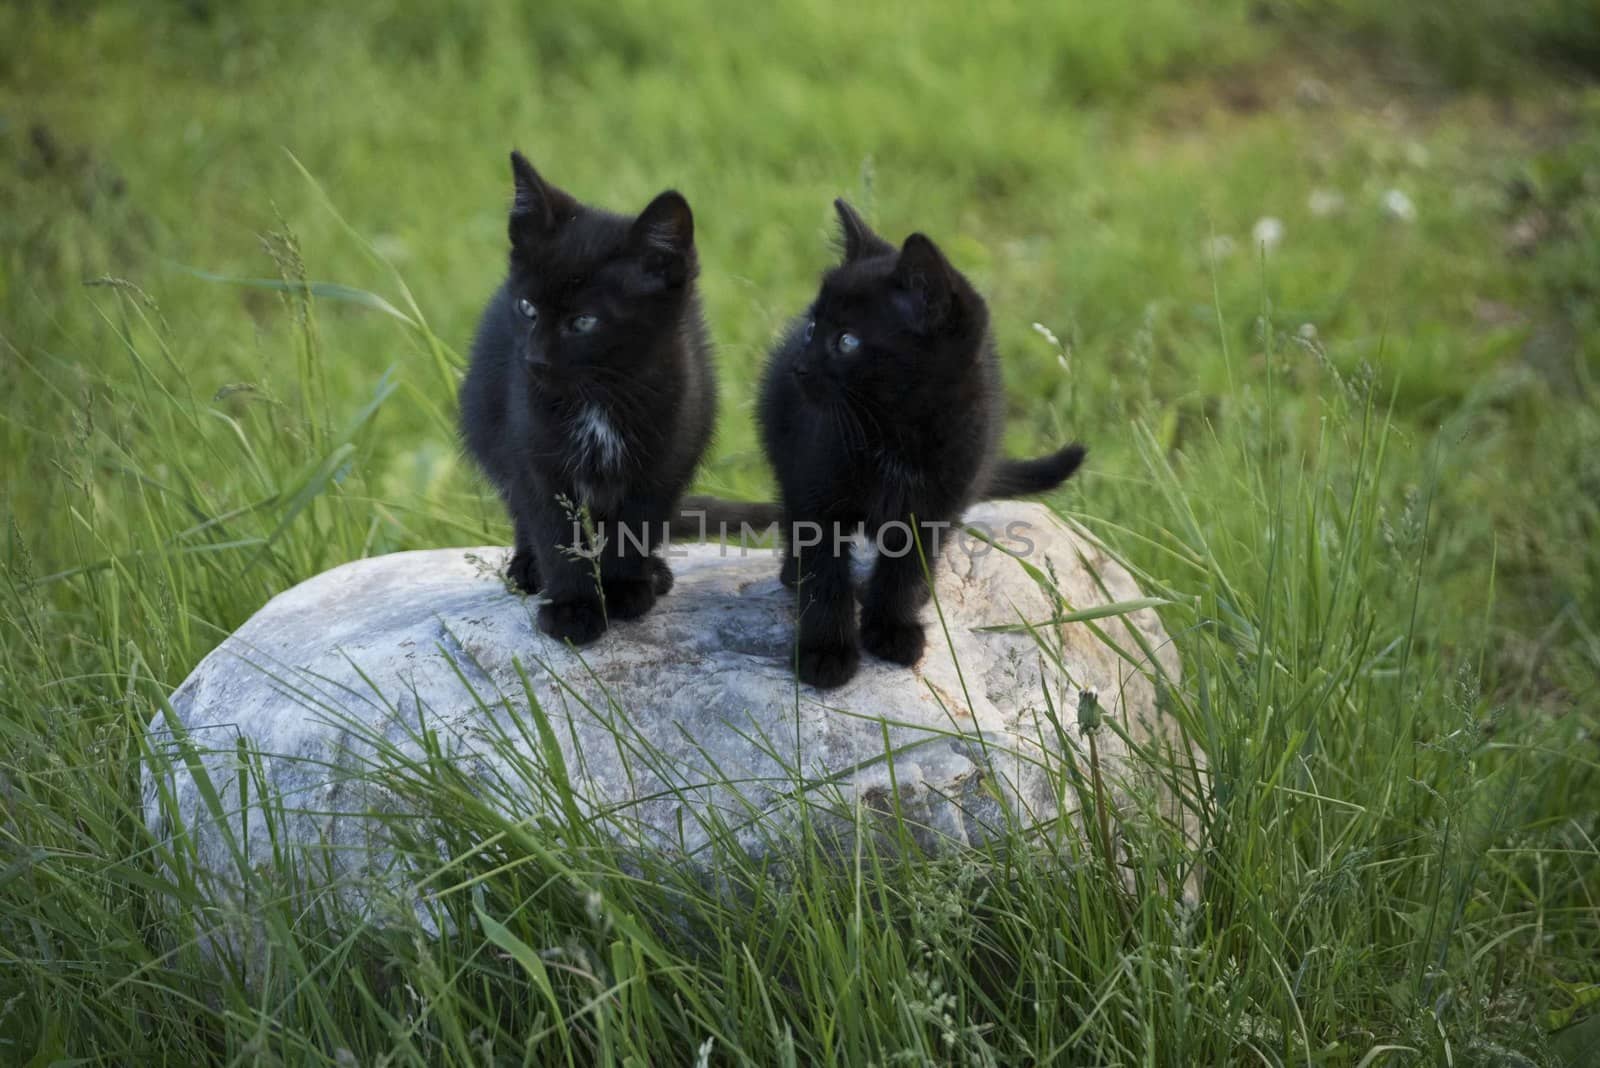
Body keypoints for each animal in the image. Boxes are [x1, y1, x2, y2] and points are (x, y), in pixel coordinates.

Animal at [460, 154, 716, 645]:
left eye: (583, 322)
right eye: (527, 308)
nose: (534, 360)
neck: (598, 397)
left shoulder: (664, 458)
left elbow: (636, 523)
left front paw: (622, 589)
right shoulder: (535, 457)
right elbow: (554, 529)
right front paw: (573, 608)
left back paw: (653, 573)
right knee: (519, 508)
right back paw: (527, 567)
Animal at [758, 199, 1088, 684]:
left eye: (847, 341)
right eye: (811, 327)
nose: (800, 366)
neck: (895, 430)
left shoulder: (937, 503)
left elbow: (907, 569)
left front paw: (892, 628)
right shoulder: (814, 487)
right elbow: (824, 574)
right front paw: (826, 652)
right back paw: (793, 574)